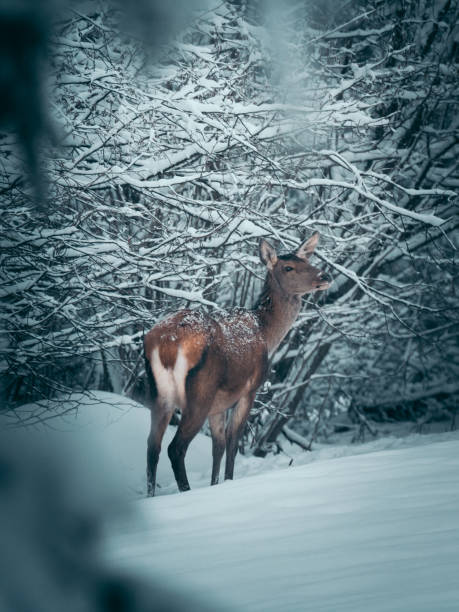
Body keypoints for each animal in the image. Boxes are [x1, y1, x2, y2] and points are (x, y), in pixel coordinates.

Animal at [144, 232, 330, 494]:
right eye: (289, 267)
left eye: (307, 261)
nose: (325, 276)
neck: (266, 334)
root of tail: (165, 344)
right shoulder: (249, 389)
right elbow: (233, 442)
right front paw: (229, 482)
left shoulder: (219, 405)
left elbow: (218, 446)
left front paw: (215, 485)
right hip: (199, 394)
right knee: (175, 448)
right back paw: (185, 491)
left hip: (160, 396)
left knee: (153, 446)